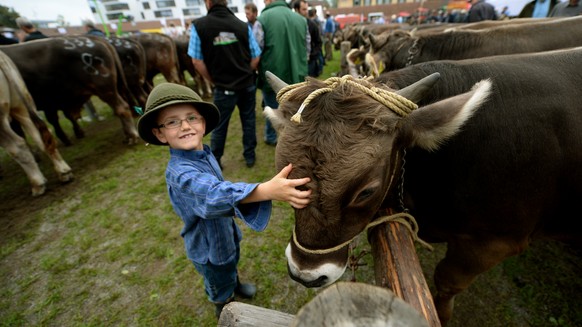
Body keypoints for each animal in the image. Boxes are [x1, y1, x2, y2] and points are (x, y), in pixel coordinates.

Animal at [0, 35, 140, 146]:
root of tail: (92, 38)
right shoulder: (50, 102)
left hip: (106, 89)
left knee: (122, 107)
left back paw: (132, 136)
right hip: (116, 88)